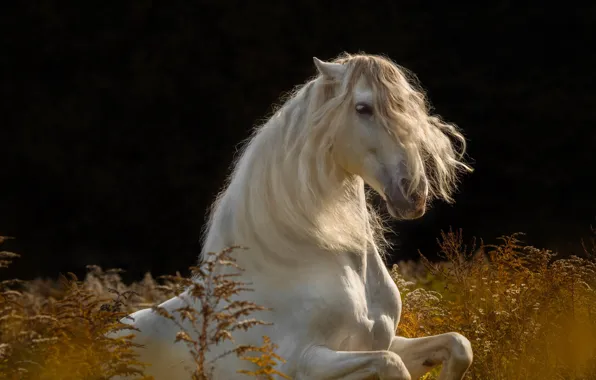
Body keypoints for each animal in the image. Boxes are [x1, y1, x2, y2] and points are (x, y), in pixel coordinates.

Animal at [118, 52, 474, 378]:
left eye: (412, 104)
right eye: (363, 108)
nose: (413, 192)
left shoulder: (387, 342)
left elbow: (458, 345)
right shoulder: (302, 362)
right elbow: (391, 364)